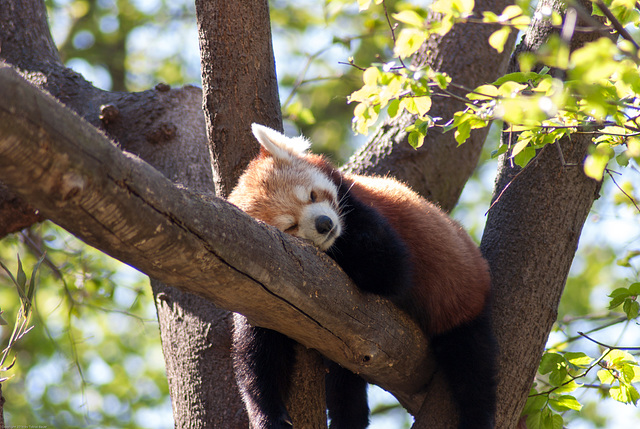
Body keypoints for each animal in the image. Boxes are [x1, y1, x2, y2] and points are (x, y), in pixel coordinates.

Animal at [228, 123, 498, 428]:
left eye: (312, 195)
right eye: (291, 226)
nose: (324, 224)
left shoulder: (365, 213)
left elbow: (390, 269)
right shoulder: (266, 289)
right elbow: (258, 353)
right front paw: (268, 415)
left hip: (462, 303)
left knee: (472, 368)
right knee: (346, 379)